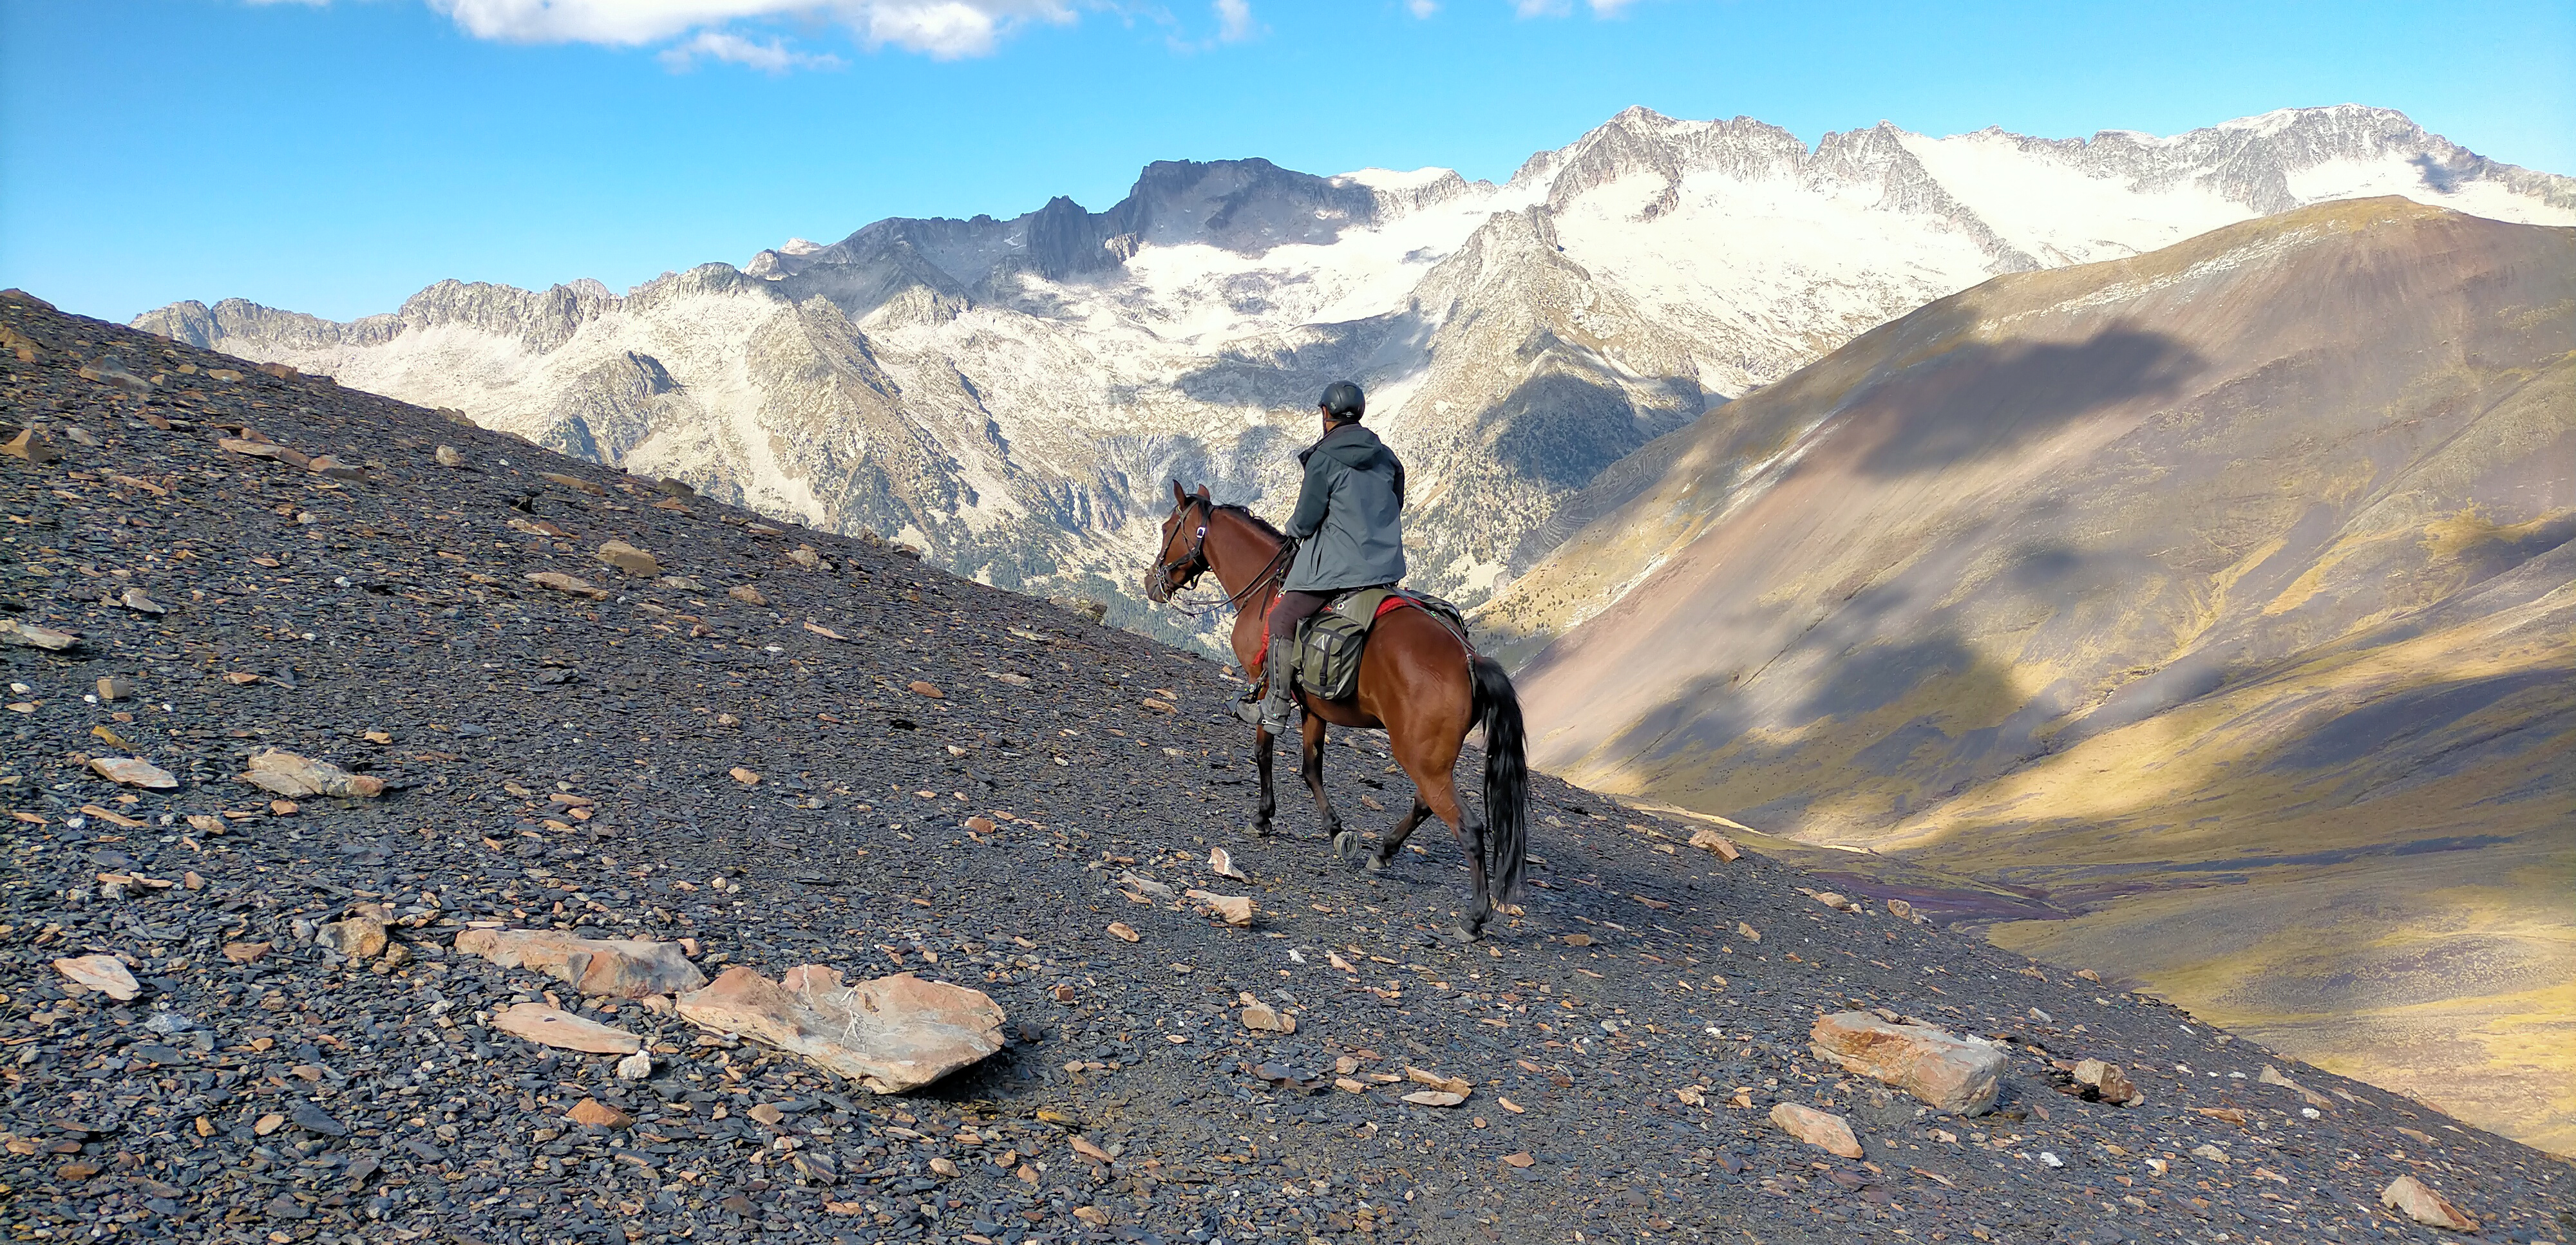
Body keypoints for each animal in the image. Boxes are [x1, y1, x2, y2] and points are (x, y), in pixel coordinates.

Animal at [1144, 481, 1528, 940]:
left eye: (1167, 527)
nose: (1150, 582)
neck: (1267, 590)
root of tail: (1470, 658)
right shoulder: (1315, 708)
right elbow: (1311, 767)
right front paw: (1335, 829)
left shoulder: (1268, 688)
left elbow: (1264, 751)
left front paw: (1263, 817)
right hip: (1430, 761)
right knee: (1423, 803)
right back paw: (1383, 852)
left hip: (1421, 759)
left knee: (1468, 827)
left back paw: (1474, 917)